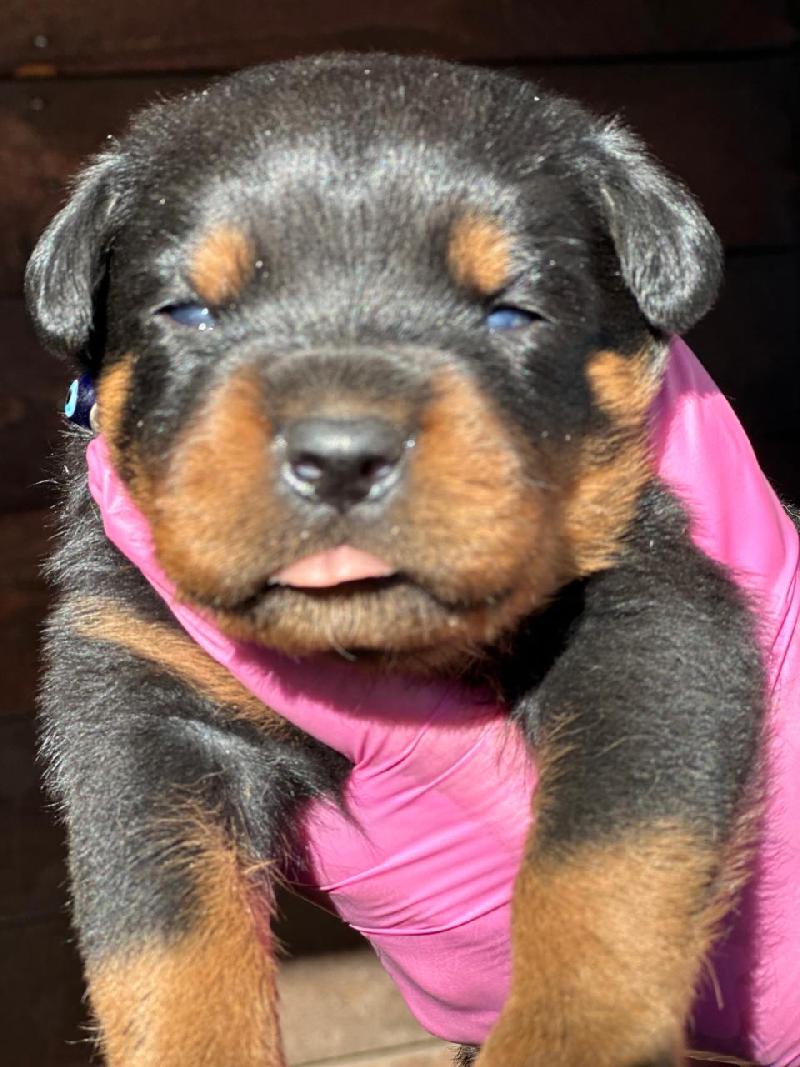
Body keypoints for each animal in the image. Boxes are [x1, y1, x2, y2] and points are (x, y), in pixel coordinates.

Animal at [26, 54, 767, 1066]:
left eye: (511, 313)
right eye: (188, 311)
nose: (342, 453)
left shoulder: (655, 618)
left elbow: (605, 855)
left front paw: (558, 1034)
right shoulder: (135, 697)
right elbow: (168, 944)